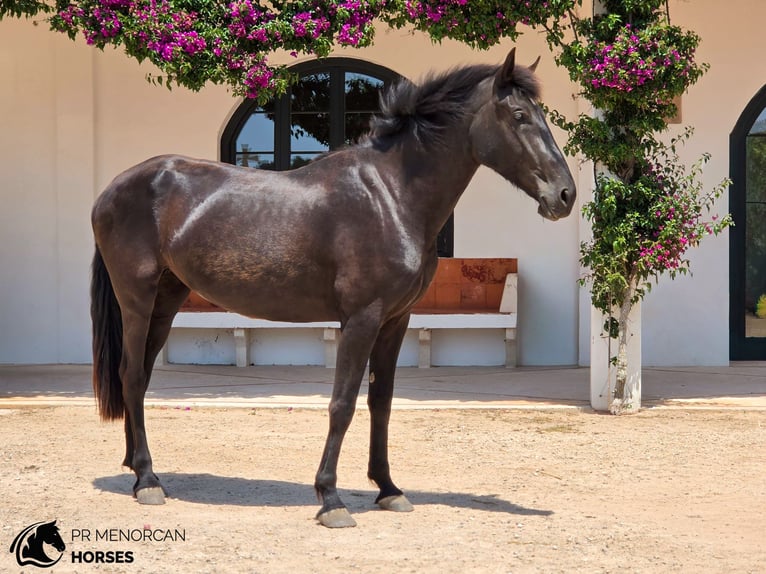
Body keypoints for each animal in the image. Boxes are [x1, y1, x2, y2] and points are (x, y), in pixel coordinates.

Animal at [90, 48, 576, 528]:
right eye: (519, 115)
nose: (565, 196)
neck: (390, 196)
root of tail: (112, 189)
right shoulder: (361, 319)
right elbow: (342, 403)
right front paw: (331, 498)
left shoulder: (396, 320)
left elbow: (381, 400)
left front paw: (388, 489)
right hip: (136, 298)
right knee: (132, 374)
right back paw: (147, 480)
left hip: (166, 299)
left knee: (140, 374)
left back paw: (138, 468)